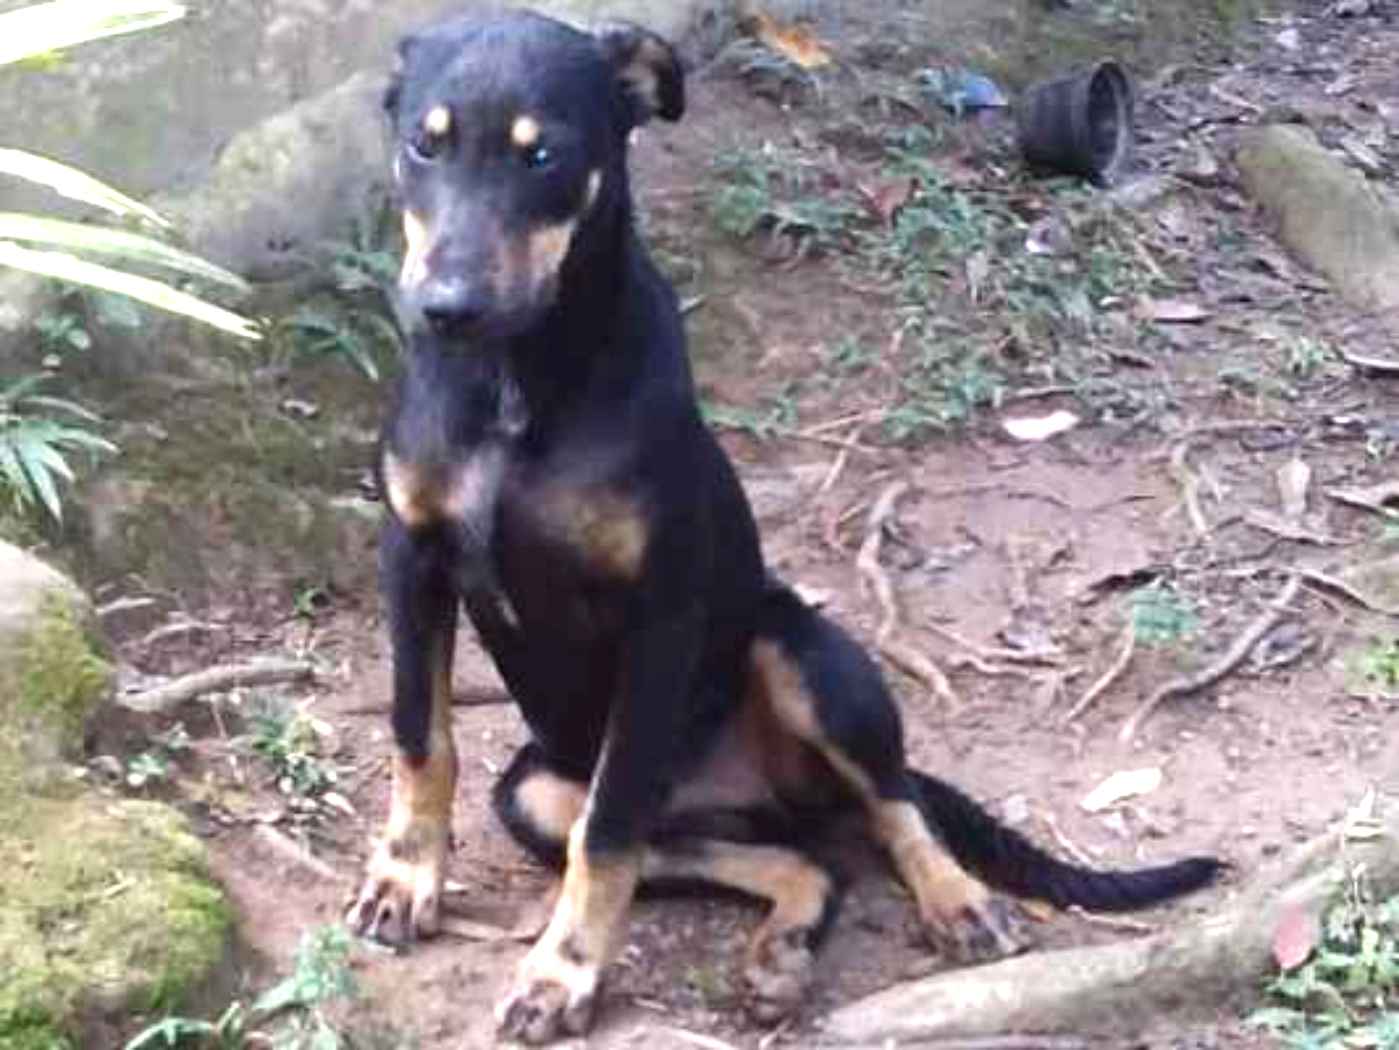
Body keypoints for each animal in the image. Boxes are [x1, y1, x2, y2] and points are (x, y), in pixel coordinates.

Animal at [345, 10, 1222, 1044]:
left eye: (544, 155)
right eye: (423, 143)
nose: (446, 310)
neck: (515, 382)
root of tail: (766, 796)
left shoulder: (658, 613)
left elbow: (608, 834)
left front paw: (562, 975)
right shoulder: (413, 559)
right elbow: (421, 738)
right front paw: (404, 880)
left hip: (804, 658)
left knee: (889, 804)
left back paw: (954, 899)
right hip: (536, 792)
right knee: (795, 860)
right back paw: (782, 950)